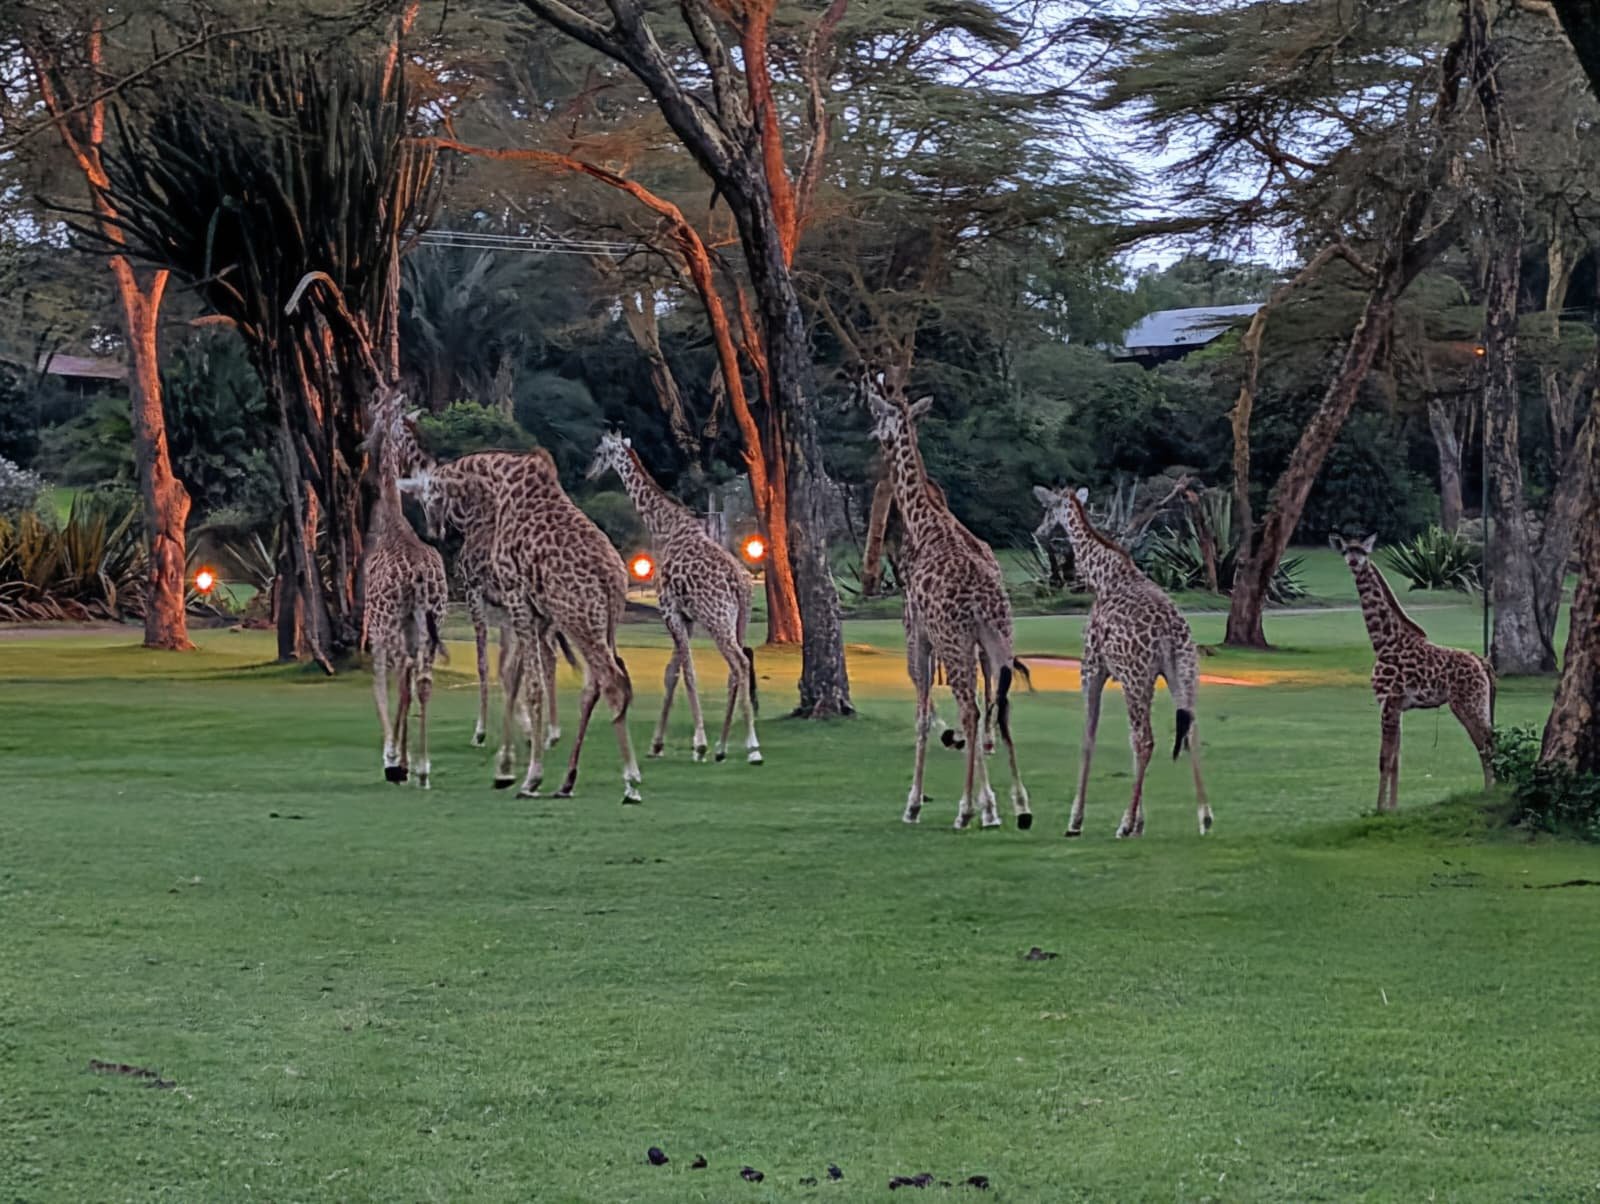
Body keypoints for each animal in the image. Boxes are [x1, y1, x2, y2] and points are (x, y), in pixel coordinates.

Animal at [399, 449, 642, 802]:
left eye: (426, 496)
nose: (433, 530)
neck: (497, 483)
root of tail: (613, 578)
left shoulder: (509, 597)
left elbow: (525, 681)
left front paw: (530, 777)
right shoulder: (532, 613)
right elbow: (515, 676)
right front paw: (506, 768)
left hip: (578, 619)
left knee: (610, 681)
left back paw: (630, 781)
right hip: (600, 624)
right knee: (597, 683)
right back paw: (568, 781)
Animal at [586, 432, 762, 765]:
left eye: (600, 452)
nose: (589, 474)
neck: (664, 525)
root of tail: (739, 583)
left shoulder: (669, 609)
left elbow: (687, 673)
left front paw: (698, 744)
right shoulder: (687, 616)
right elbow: (673, 672)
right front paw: (657, 744)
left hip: (717, 618)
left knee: (740, 662)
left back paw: (752, 747)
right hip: (739, 619)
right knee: (737, 669)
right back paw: (722, 746)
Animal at [865, 376, 1031, 831]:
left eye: (879, 417)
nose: (874, 438)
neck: (925, 524)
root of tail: (982, 602)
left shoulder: (917, 632)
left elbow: (923, 717)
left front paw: (914, 803)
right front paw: (993, 804)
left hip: (956, 642)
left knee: (971, 710)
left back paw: (967, 810)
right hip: (997, 640)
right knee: (999, 708)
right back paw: (1019, 806)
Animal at [1033, 485, 1211, 839]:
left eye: (1048, 510)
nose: (1039, 532)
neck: (1102, 577)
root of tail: (1170, 632)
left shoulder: (1092, 666)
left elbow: (1088, 737)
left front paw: (1076, 820)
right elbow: (1126, 739)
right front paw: (1141, 822)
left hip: (1137, 676)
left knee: (1146, 740)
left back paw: (1123, 825)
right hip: (1183, 670)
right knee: (1190, 731)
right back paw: (1204, 818)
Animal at [1330, 534, 1496, 809]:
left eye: (1363, 551)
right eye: (1345, 551)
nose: (1354, 562)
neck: (1383, 641)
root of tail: (1482, 662)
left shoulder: (1387, 702)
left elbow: (1384, 759)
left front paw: (1379, 809)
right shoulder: (1397, 706)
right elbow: (1396, 759)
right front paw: (1393, 807)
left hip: (1467, 703)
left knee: (1486, 744)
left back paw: (1491, 791)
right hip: (1480, 703)